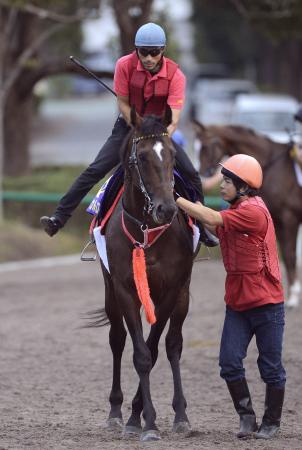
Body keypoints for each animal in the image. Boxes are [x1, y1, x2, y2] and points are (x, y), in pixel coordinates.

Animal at [92, 110, 195, 442]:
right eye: (142, 158)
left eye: (173, 156)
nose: (166, 209)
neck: (147, 232)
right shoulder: (125, 289)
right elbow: (139, 353)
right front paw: (143, 421)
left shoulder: (172, 289)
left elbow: (153, 347)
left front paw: (143, 416)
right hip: (109, 291)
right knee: (117, 339)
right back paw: (115, 411)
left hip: (184, 295)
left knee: (174, 345)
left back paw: (181, 413)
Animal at [193, 121, 302, 308]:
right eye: (196, 146)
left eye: (206, 146)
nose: (203, 178)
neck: (272, 164)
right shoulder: (279, 220)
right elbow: (286, 257)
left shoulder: (289, 218)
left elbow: (290, 255)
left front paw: (294, 296)